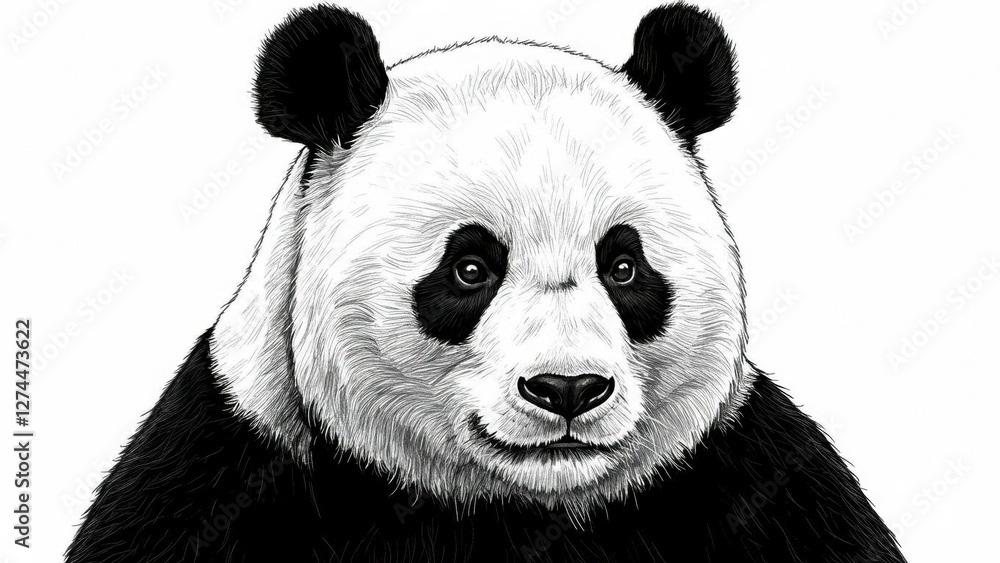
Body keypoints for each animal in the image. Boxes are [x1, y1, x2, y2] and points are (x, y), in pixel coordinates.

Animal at [67, 4, 906, 563]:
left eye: (623, 266)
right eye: (470, 268)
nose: (568, 389)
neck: (516, 503)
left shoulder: (747, 478)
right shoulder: (237, 467)